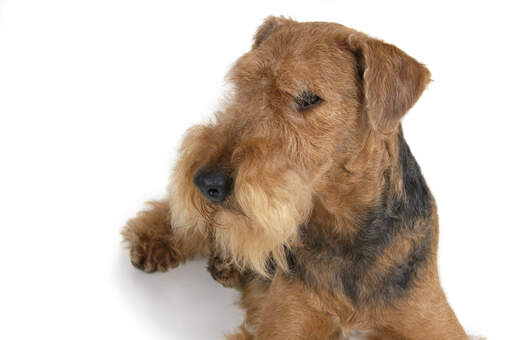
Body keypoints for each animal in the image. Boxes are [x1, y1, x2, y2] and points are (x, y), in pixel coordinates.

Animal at [122, 16, 470, 340]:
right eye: (243, 84)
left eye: (307, 98)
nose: (207, 182)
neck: (346, 235)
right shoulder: (287, 323)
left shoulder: (434, 323)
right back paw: (153, 242)